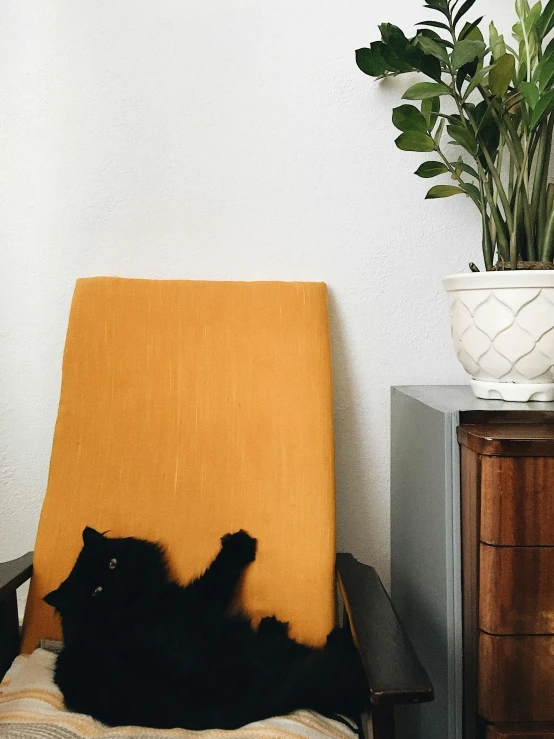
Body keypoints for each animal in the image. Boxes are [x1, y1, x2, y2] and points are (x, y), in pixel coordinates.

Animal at [45, 528, 364, 732]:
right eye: (96, 592)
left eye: (112, 564)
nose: (116, 582)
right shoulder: (197, 598)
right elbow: (218, 574)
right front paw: (238, 545)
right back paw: (286, 628)